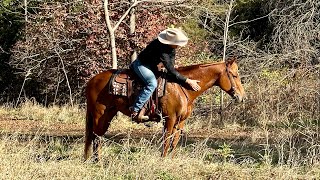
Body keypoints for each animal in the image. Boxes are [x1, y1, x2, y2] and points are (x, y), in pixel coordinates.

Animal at [83, 58, 245, 161]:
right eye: (235, 75)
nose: (242, 97)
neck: (182, 87)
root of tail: (91, 81)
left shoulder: (180, 122)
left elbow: (174, 141)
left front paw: (170, 160)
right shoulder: (169, 119)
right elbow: (166, 141)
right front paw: (163, 160)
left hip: (108, 114)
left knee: (96, 136)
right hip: (99, 114)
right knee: (95, 136)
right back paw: (97, 161)